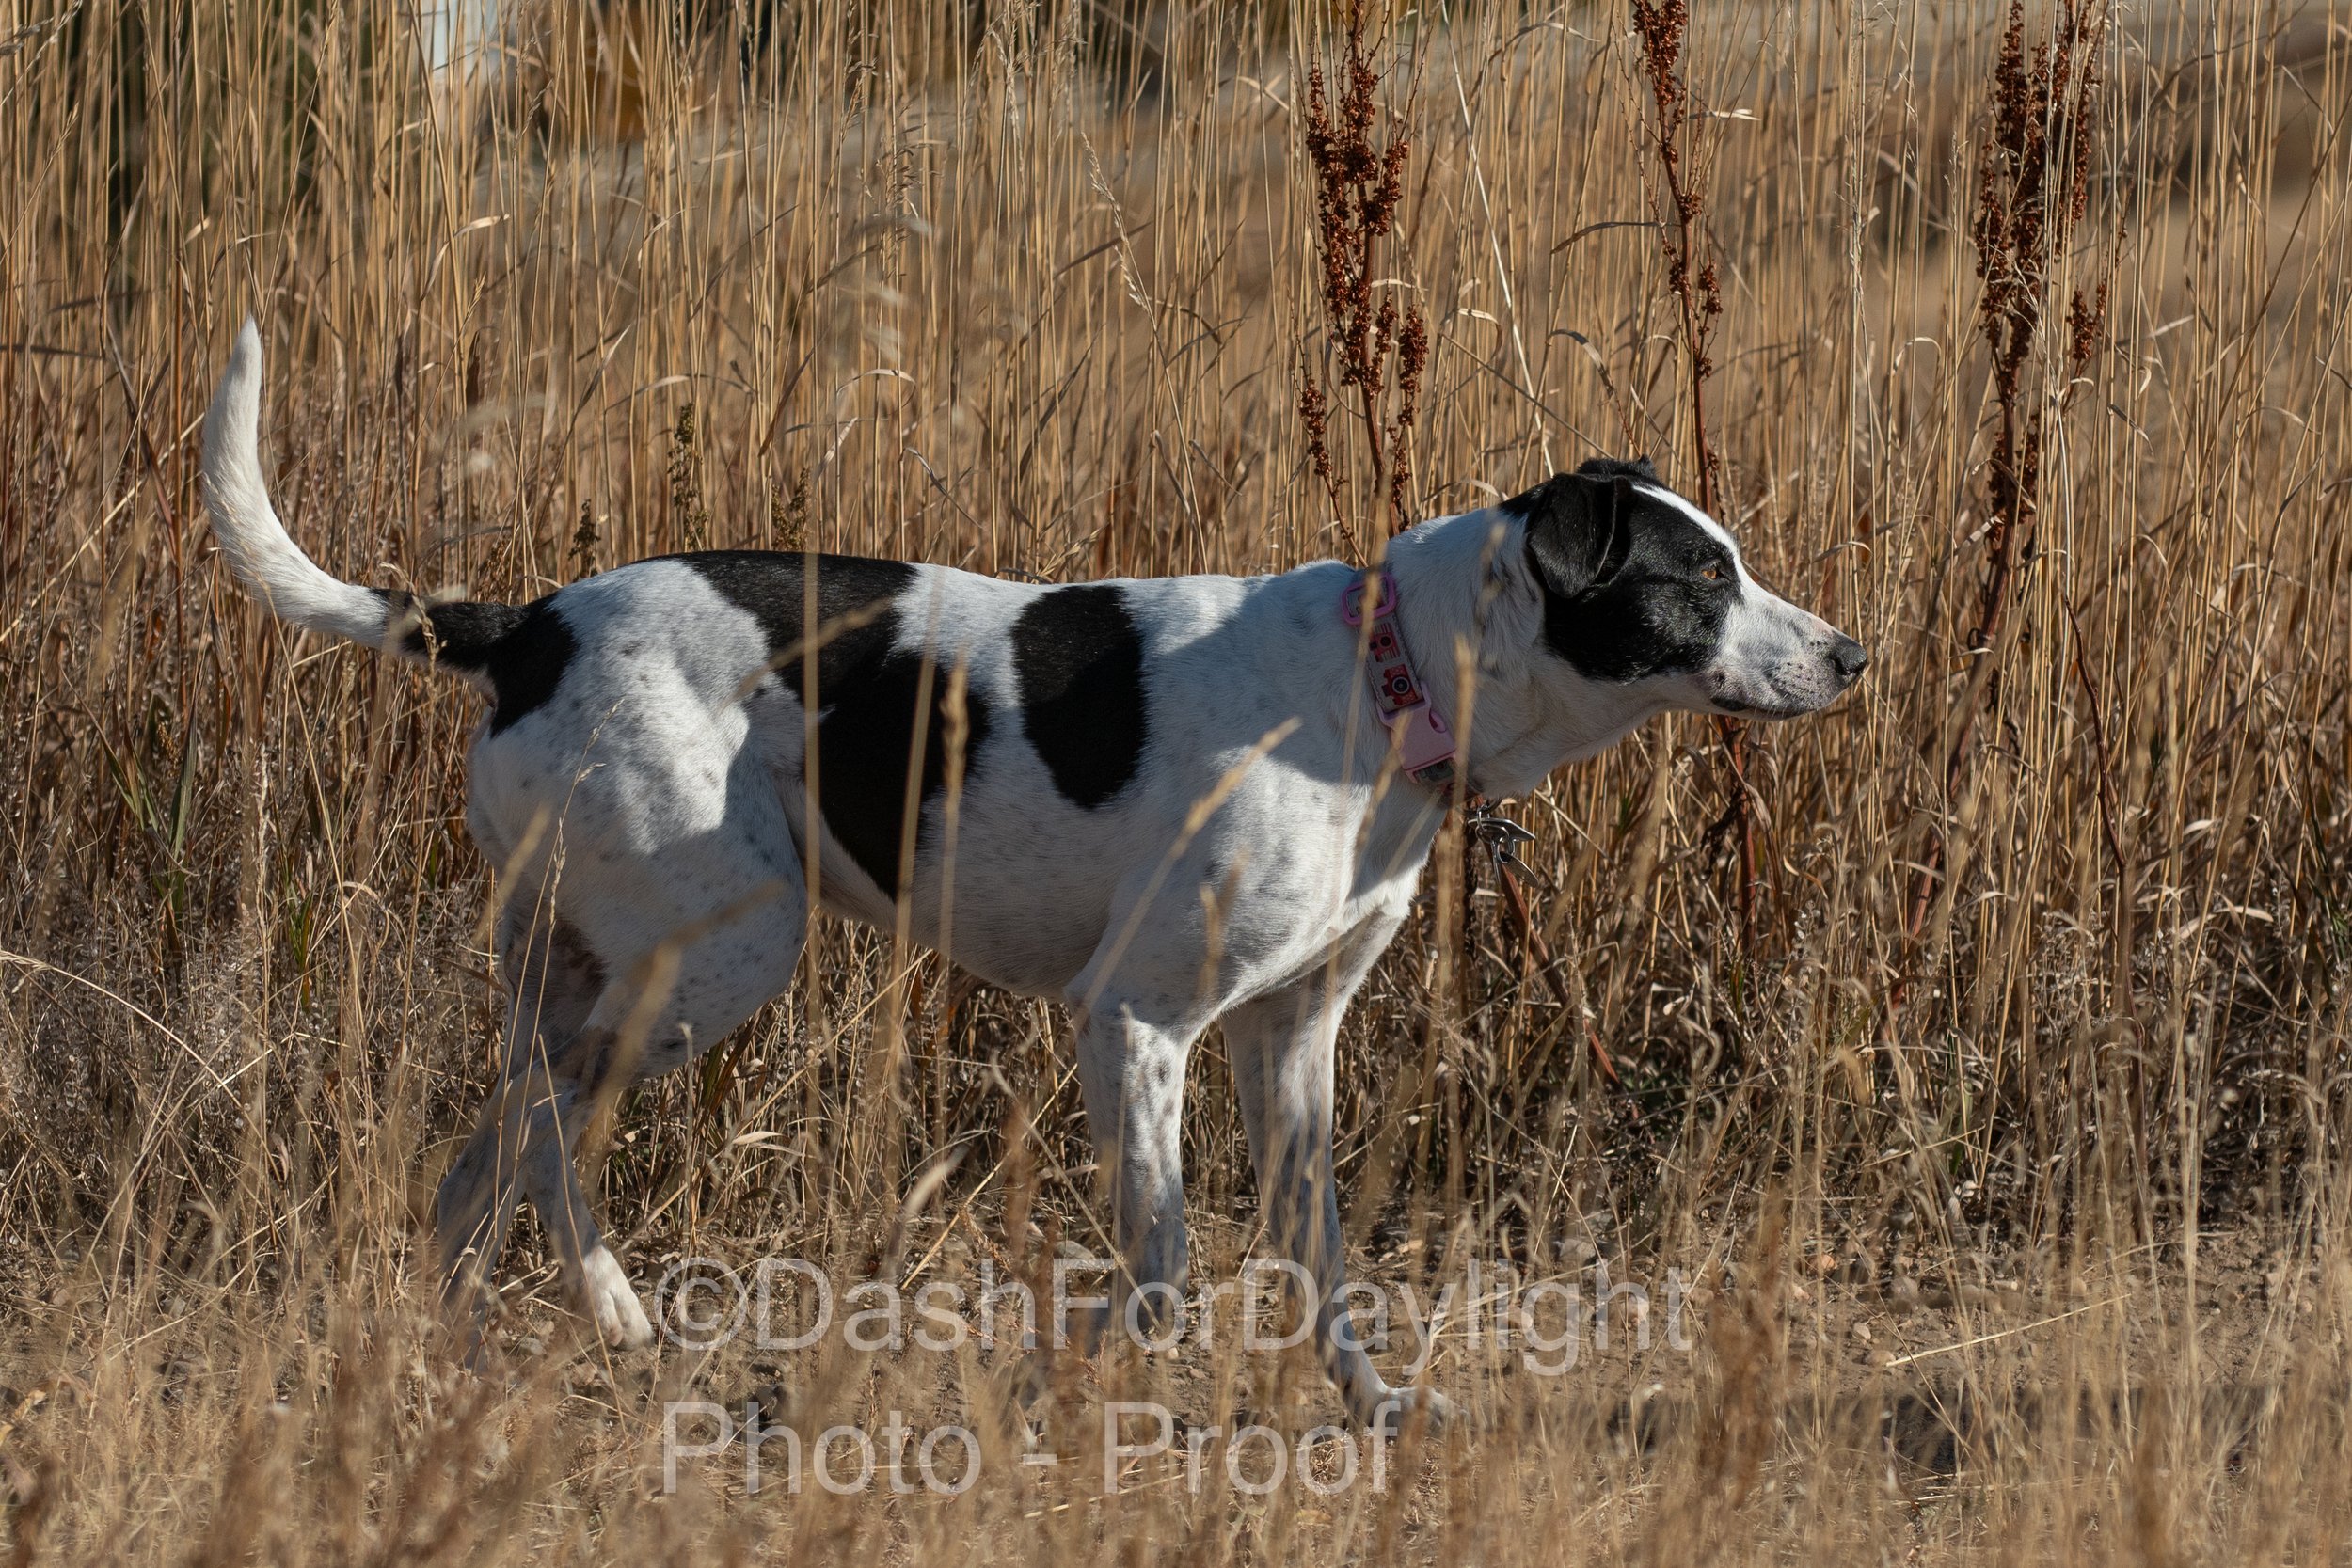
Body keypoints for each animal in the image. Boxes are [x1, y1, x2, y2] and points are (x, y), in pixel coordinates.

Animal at [201, 318, 1864, 1428]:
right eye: (1697, 577)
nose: (1855, 654)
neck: (1384, 675)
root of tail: (521, 625)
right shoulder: (1137, 1023)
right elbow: (1167, 1256)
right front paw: (1124, 1410)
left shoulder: (1291, 1042)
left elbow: (1318, 1256)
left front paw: (1374, 1407)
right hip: (716, 957)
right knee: (550, 1139)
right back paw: (610, 1315)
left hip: (579, 971)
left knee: (479, 1154)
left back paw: (464, 1341)